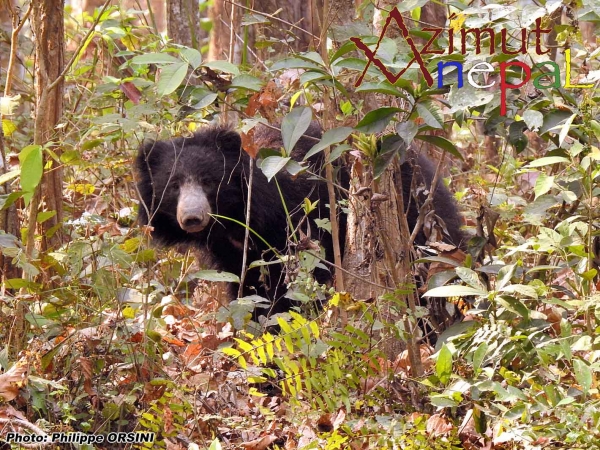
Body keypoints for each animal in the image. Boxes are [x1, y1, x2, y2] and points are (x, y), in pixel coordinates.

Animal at [136, 124, 464, 320]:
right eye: (174, 185)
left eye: (207, 181)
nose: (192, 217)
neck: (236, 220)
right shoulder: (233, 251)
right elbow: (249, 286)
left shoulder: (294, 223)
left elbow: (295, 283)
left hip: (415, 218)